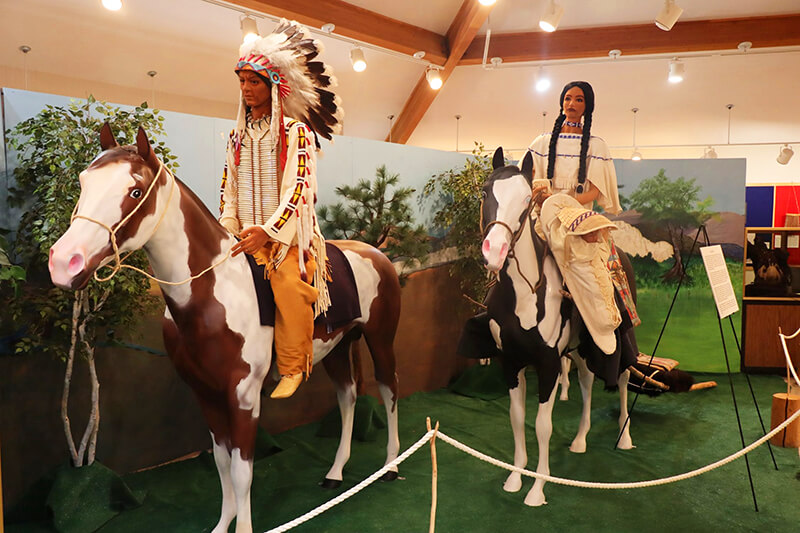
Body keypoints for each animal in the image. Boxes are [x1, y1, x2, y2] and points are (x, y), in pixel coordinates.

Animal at [45, 125, 400, 532]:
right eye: (84, 182)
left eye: (135, 191)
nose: (63, 262)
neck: (212, 293)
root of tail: (376, 253)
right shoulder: (206, 394)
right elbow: (221, 462)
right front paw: (223, 521)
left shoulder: (243, 396)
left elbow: (242, 471)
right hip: (338, 347)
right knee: (348, 397)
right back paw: (336, 472)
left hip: (381, 339)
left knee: (389, 391)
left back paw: (391, 466)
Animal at [472, 148, 636, 504]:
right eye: (485, 193)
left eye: (526, 199)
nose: (495, 251)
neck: (524, 297)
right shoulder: (511, 363)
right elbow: (517, 418)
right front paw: (515, 477)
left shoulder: (547, 363)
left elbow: (542, 426)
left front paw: (537, 487)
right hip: (581, 347)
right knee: (587, 381)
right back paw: (580, 439)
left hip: (620, 340)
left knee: (624, 378)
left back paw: (624, 436)